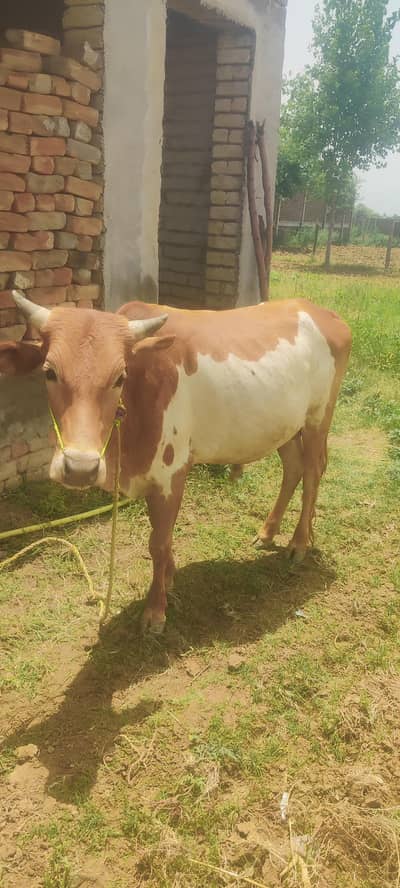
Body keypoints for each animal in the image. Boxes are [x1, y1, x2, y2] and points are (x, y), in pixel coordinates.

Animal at [0, 290, 351, 632]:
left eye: (120, 377)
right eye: (49, 372)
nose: (80, 468)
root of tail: (322, 313)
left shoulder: (172, 474)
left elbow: (158, 541)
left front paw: (156, 610)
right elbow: (162, 536)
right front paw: (168, 577)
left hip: (318, 419)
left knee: (312, 473)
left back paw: (299, 543)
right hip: (285, 426)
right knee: (293, 469)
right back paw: (267, 533)